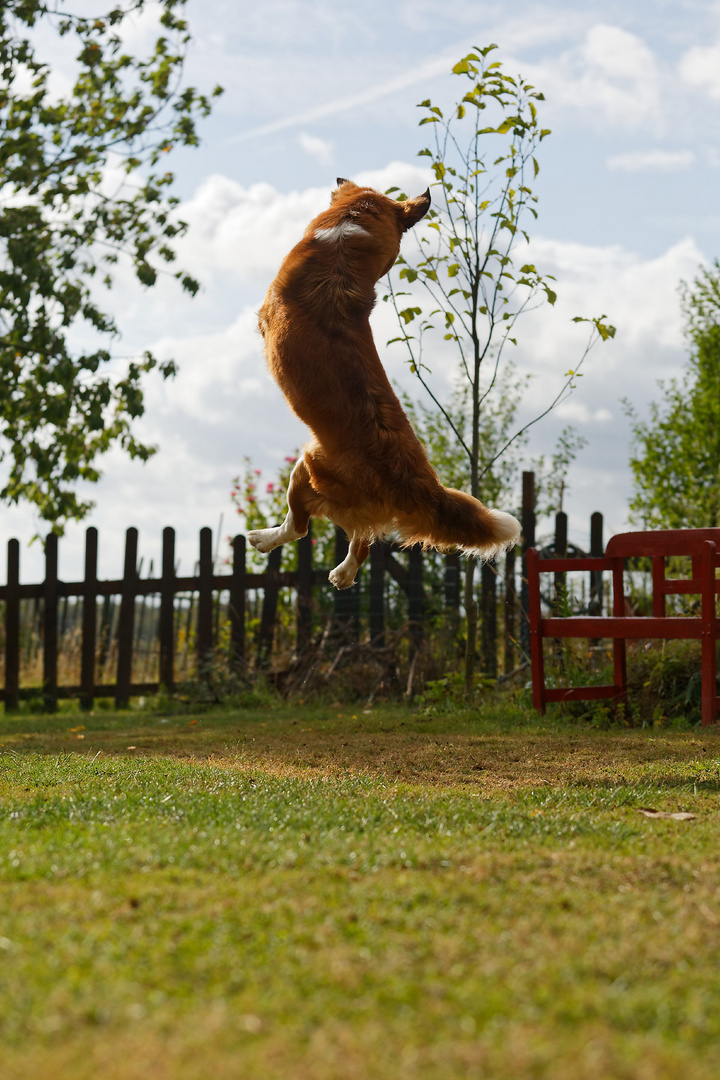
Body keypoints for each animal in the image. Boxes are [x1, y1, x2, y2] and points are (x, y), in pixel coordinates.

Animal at [250, 183, 520, 591]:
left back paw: (264, 539)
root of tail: (416, 481)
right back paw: (343, 574)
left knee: (299, 527)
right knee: (363, 540)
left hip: (307, 467)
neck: (344, 246)